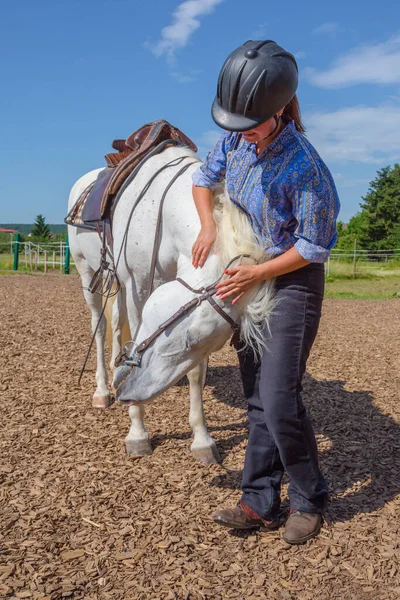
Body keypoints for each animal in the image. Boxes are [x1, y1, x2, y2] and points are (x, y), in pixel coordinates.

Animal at [68, 145, 276, 464]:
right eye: (190, 337)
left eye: (198, 343)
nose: (129, 389)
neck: (163, 212)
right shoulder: (138, 285)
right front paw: (137, 431)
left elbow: (195, 374)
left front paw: (202, 439)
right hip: (87, 271)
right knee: (100, 327)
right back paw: (103, 390)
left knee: (115, 324)